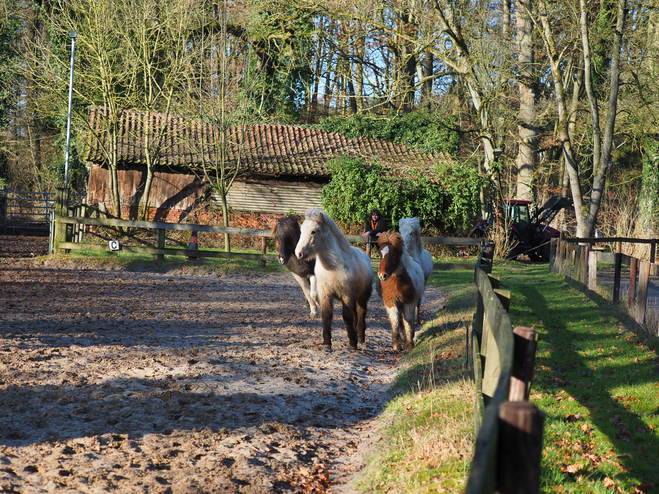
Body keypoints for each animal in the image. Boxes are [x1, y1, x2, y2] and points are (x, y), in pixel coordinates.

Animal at [296, 208, 374, 352]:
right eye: (302, 230)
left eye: (313, 231)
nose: (299, 253)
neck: (333, 268)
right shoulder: (325, 295)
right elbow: (327, 316)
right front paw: (327, 344)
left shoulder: (347, 295)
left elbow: (347, 317)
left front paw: (353, 343)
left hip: (362, 298)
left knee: (361, 315)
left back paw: (361, 340)